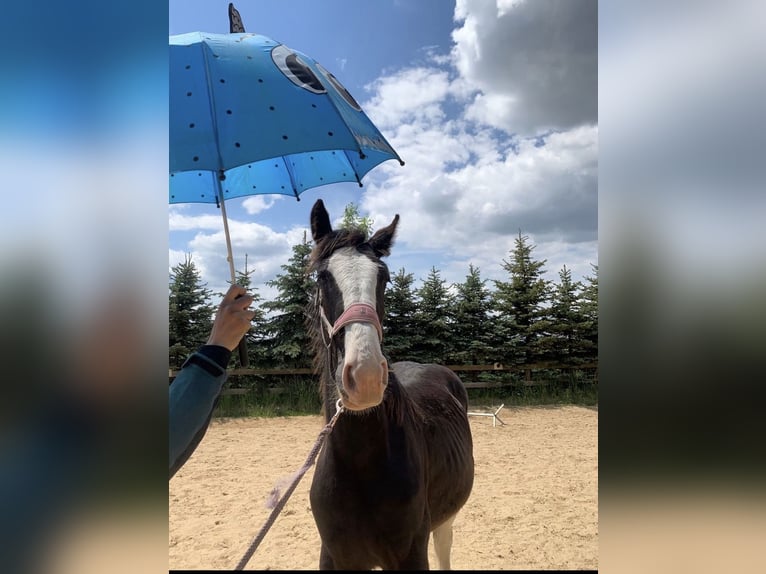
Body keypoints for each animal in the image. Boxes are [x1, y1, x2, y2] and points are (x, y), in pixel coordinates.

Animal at [306, 199, 475, 570]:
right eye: (323, 276)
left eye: (383, 278)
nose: (366, 376)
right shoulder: (334, 556)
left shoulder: (412, 554)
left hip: (446, 519)